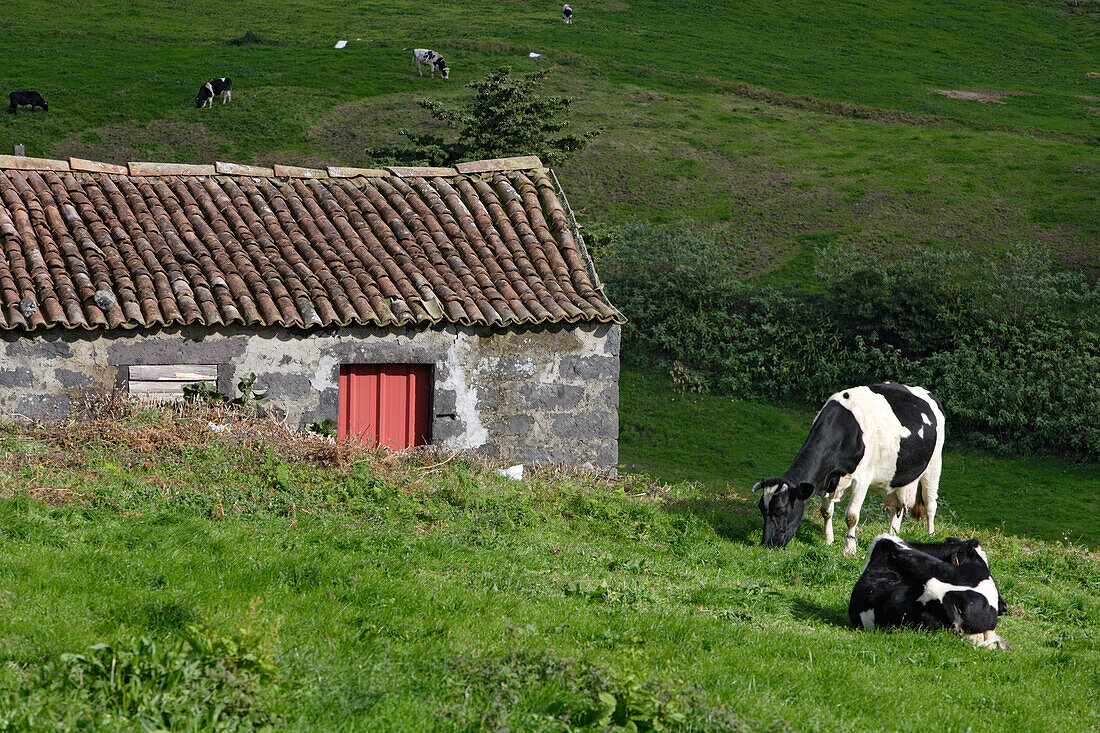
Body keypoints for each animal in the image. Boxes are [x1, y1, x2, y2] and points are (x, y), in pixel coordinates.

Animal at [756, 385, 946, 550]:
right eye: (761, 509)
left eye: (780, 510)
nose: (767, 544)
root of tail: (927, 392)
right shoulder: (828, 479)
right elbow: (826, 511)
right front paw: (829, 540)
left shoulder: (862, 480)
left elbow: (851, 516)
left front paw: (849, 549)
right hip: (899, 476)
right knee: (897, 509)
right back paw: (892, 536)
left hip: (934, 466)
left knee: (930, 504)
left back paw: (930, 534)